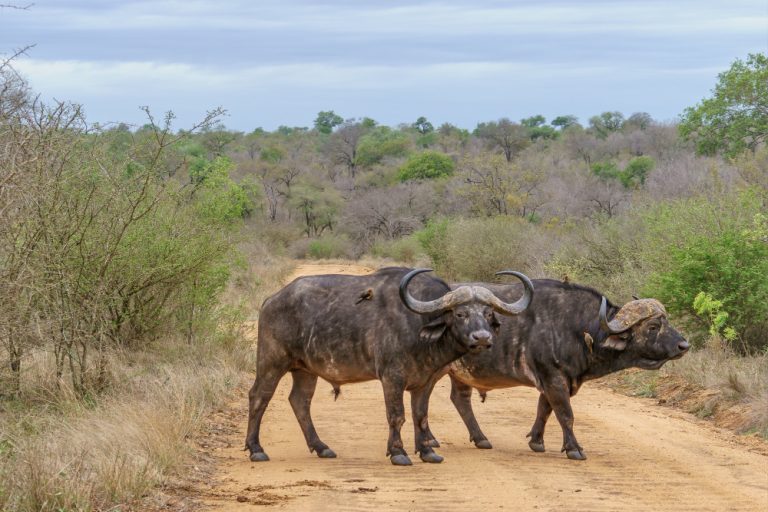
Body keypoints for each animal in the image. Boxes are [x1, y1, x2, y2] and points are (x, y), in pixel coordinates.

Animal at [246, 267, 533, 465]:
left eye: (487, 313)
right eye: (460, 313)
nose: (482, 338)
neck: (418, 324)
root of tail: (272, 300)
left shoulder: (424, 381)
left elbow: (420, 415)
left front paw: (427, 452)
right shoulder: (391, 378)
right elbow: (397, 415)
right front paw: (398, 452)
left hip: (305, 370)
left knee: (300, 401)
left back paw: (321, 447)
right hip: (272, 362)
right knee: (259, 397)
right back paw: (256, 449)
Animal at [419, 279, 689, 460]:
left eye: (666, 322)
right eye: (653, 326)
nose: (684, 345)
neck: (577, 328)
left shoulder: (557, 380)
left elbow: (545, 409)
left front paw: (537, 441)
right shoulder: (553, 377)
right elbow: (565, 414)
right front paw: (574, 449)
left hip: (460, 373)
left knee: (460, 399)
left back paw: (480, 438)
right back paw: (431, 439)